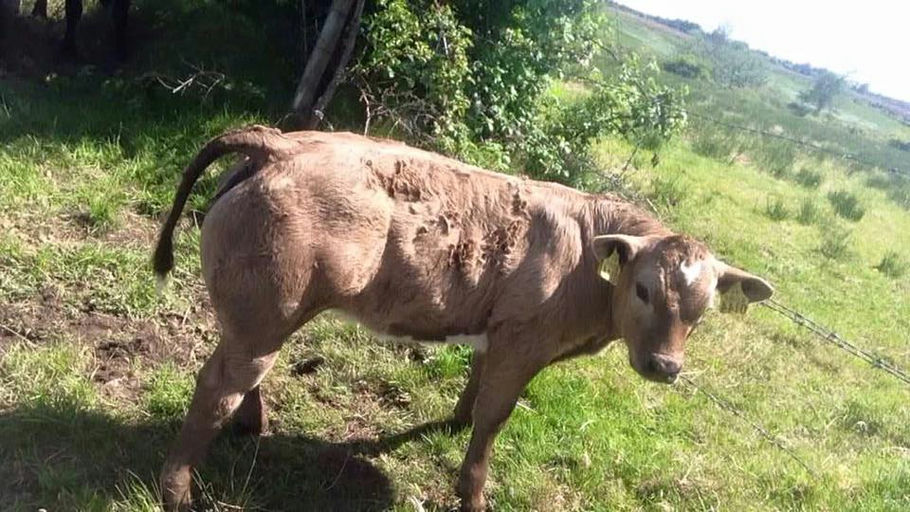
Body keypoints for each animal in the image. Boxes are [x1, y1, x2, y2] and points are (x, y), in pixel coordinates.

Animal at [154, 125, 773, 511]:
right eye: (643, 289)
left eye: (703, 310)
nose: (666, 366)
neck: (584, 255)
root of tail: (280, 143)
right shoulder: (523, 343)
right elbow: (495, 419)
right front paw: (474, 493)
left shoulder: (496, 333)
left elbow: (475, 389)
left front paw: (454, 420)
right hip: (266, 312)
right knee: (217, 387)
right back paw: (178, 492)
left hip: (260, 315)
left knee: (236, 374)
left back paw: (251, 425)